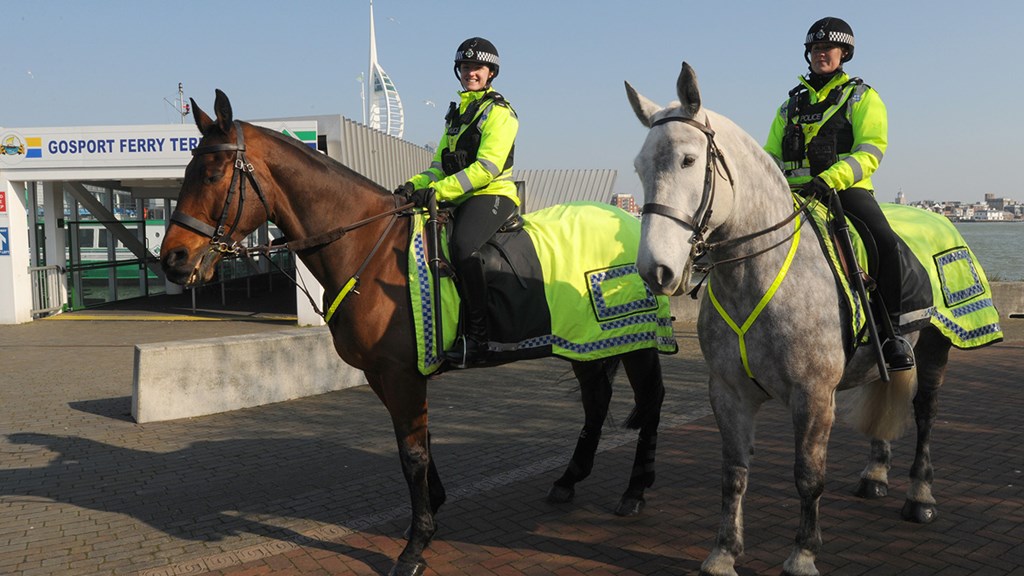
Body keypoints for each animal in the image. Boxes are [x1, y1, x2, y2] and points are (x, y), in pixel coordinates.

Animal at [159, 90, 667, 573]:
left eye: (211, 175)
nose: (173, 259)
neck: (367, 245)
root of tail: (630, 218)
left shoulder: (402, 373)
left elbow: (412, 454)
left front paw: (416, 545)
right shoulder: (382, 375)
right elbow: (417, 443)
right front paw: (432, 511)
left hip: (638, 343)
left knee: (651, 401)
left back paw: (636, 490)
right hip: (586, 344)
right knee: (597, 402)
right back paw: (569, 480)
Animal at [622, 63, 999, 573]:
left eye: (687, 160)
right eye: (640, 167)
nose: (656, 271)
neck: (753, 274)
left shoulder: (814, 395)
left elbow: (808, 476)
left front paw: (802, 554)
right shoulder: (728, 393)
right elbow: (734, 473)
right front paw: (723, 552)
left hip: (937, 345)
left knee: (925, 412)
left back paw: (920, 496)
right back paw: (875, 473)